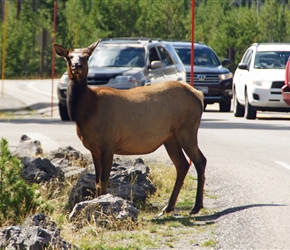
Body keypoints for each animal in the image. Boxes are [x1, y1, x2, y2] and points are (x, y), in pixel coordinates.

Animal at [52, 41, 206, 215]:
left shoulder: (109, 143)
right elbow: (96, 180)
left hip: (187, 130)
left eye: (86, 56)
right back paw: (168, 207)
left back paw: (196, 207)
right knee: (182, 164)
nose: (76, 65)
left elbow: (104, 180)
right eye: (70, 57)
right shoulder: (94, 148)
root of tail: (199, 95)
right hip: (170, 137)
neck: (87, 113)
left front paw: (102, 205)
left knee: (200, 160)